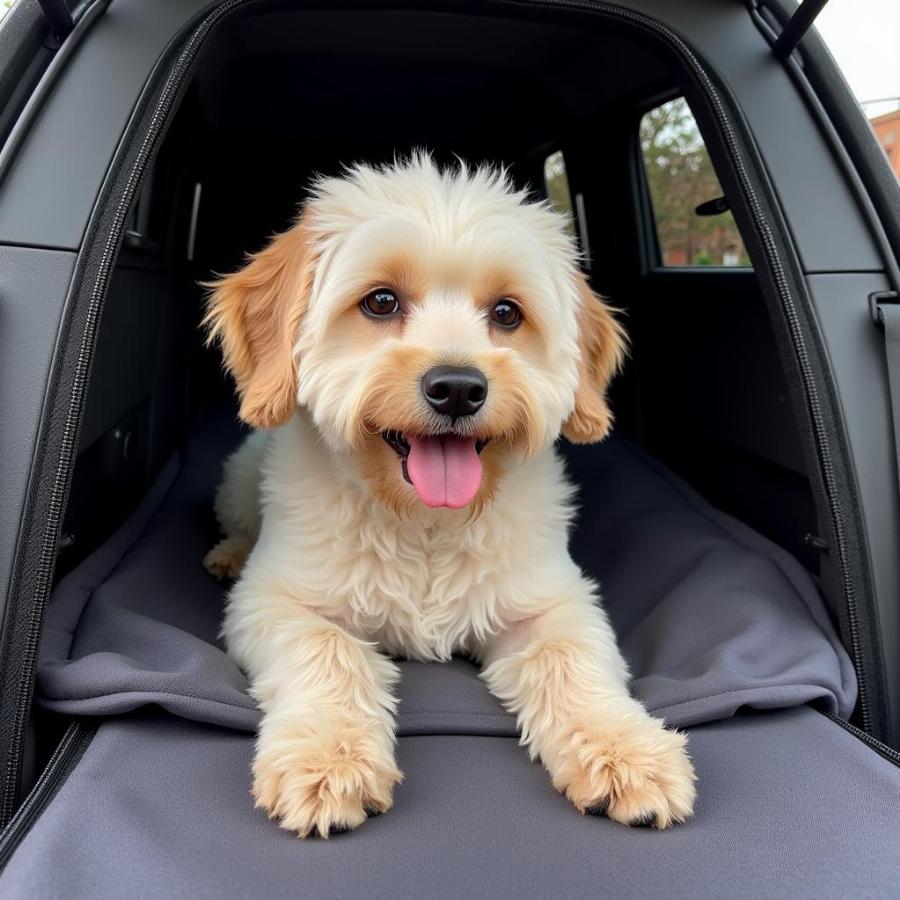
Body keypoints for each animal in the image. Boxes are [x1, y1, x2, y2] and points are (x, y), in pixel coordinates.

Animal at [204, 155, 696, 836]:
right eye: (381, 301)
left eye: (508, 313)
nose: (459, 388)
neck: (424, 523)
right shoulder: (276, 601)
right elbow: (327, 647)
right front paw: (329, 758)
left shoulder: (552, 603)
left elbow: (569, 657)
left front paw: (626, 749)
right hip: (240, 478)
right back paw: (228, 552)